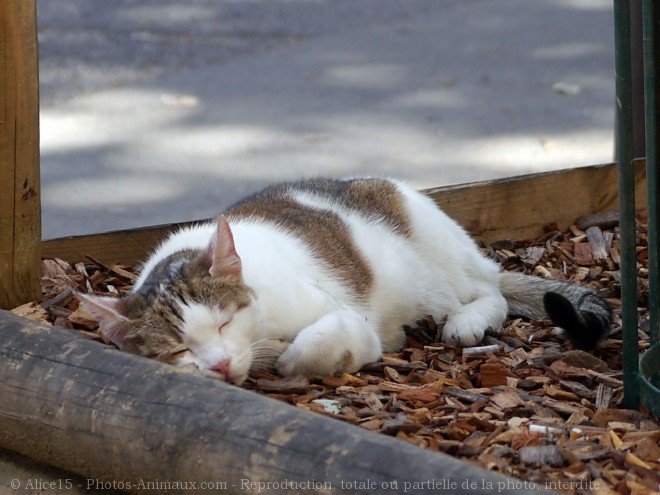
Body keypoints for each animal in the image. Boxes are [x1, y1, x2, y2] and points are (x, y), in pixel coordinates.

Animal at [78, 179, 612, 388]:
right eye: (178, 351)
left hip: (440, 263)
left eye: (225, 322)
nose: (221, 364)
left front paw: (288, 356)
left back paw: (467, 320)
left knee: (491, 292)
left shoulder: (350, 321)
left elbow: (315, 342)